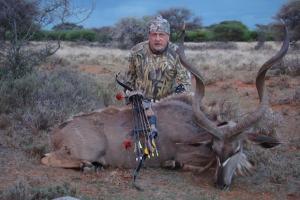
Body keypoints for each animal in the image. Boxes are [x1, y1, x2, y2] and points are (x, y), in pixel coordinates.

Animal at [41, 25, 288, 190]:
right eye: (216, 149)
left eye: (236, 150)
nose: (221, 184)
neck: (192, 125)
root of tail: (57, 131)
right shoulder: (189, 156)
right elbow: (190, 164)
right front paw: (174, 165)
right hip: (89, 150)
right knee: (47, 158)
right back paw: (87, 166)